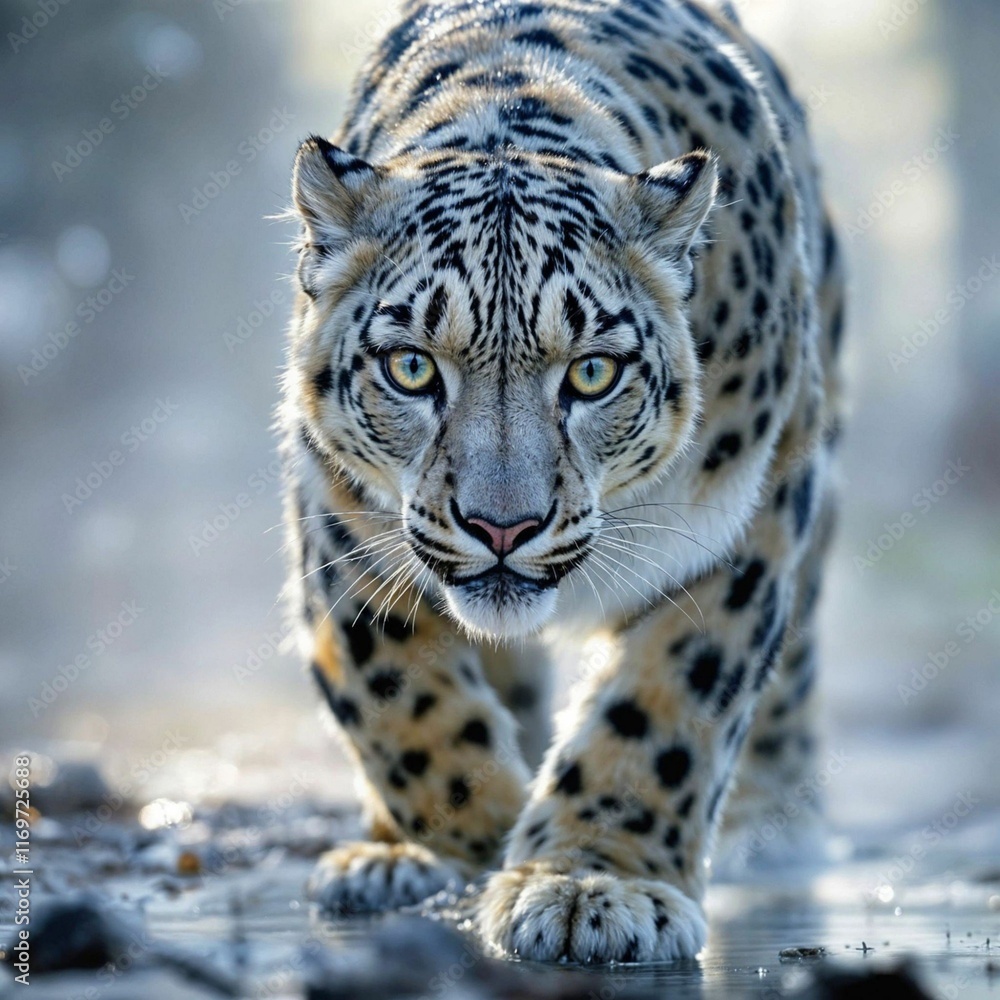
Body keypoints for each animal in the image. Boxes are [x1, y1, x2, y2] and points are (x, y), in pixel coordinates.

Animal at [279, 0, 845, 964]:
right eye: (410, 367)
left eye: (591, 373)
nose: (503, 527)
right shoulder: (339, 518)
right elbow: (395, 698)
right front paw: (477, 835)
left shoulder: (744, 521)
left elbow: (667, 707)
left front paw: (590, 882)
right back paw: (387, 856)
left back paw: (775, 826)